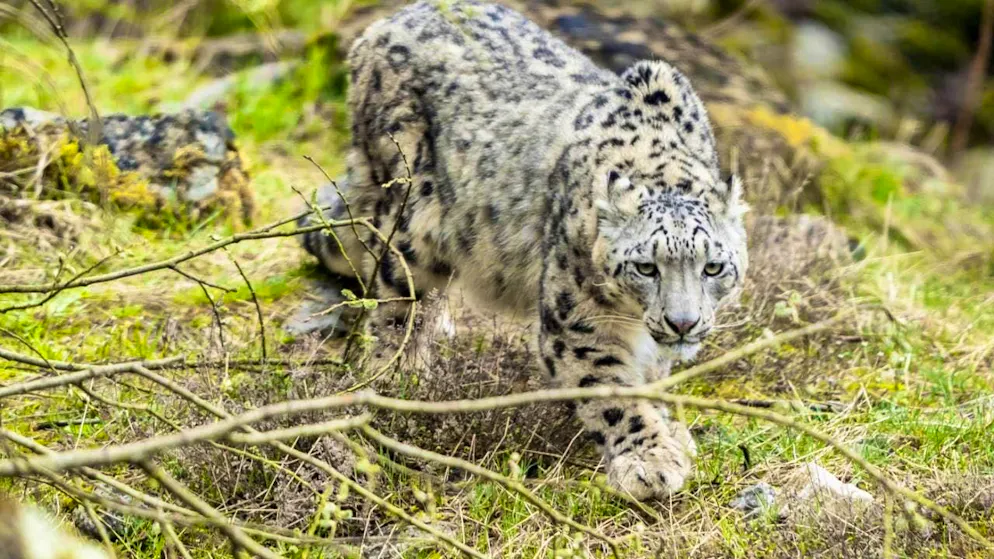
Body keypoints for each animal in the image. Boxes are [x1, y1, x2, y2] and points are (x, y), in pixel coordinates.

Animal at [300, 0, 748, 500]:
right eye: (646, 268)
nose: (683, 322)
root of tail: (383, 24)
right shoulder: (578, 324)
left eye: (713, 267)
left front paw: (671, 430)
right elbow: (612, 392)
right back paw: (401, 378)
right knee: (396, 304)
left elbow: (651, 376)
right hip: (413, 221)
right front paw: (649, 460)